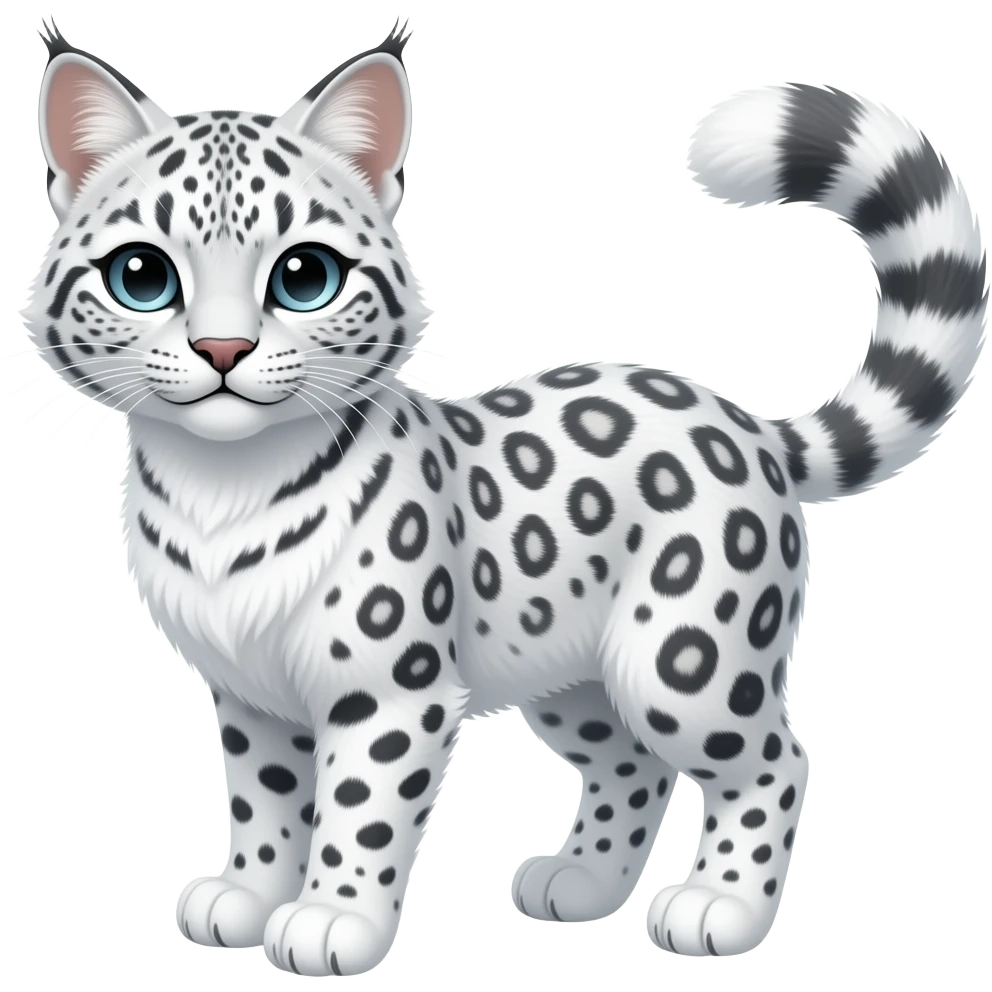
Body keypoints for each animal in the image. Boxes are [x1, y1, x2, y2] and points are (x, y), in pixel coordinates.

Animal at [18, 16, 988, 975]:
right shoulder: (250, 697)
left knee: (774, 762)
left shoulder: (390, 693)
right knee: (632, 764)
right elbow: (266, 801)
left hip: (685, 658)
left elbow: (360, 812)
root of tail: (749, 425)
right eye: (142, 276)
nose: (223, 350)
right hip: (568, 678)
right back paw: (582, 884)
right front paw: (249, 895)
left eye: (304, 277)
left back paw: (719, 907)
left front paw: (332, 919)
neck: (221, 495)